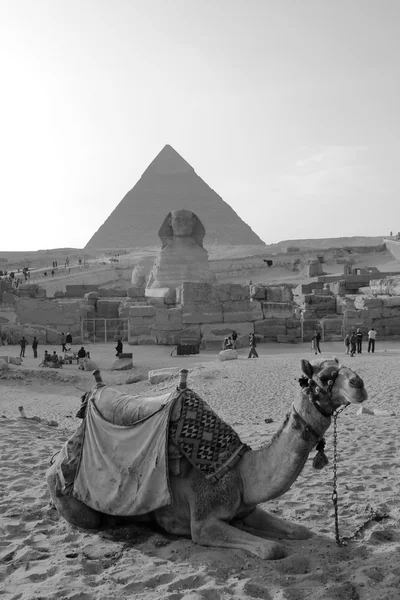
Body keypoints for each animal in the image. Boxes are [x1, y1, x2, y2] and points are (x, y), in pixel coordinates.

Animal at [45, 356, 368, 556]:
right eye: (325, 377)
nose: (359, 384)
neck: (239, 472)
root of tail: (55, 461)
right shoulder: (202, 523)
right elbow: (272, 549)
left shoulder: (247, 508)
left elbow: (302, 532)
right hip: (77, 501)